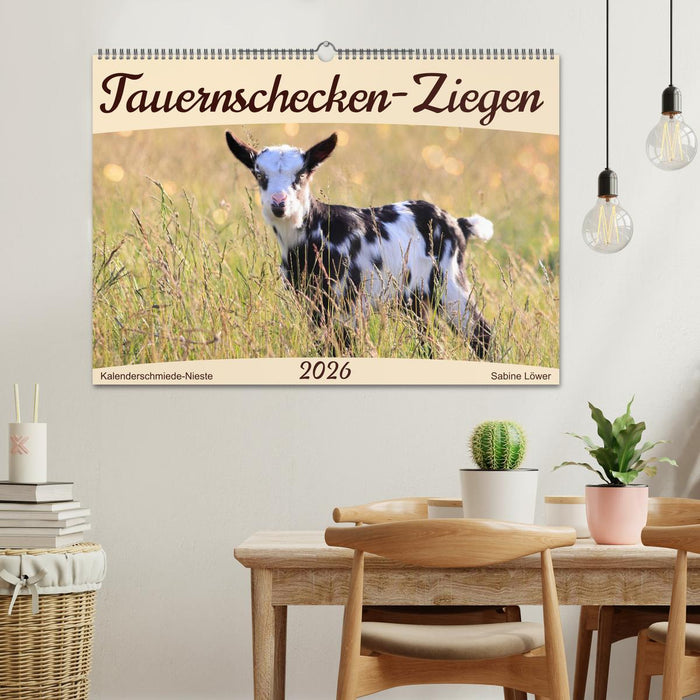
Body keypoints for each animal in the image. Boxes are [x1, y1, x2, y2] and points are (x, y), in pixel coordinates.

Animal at [225, 131, 494, 357]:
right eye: (260, 175)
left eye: (301, 175)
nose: (278, 203)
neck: (316, 232)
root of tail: (457, 224)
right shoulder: (309, 302)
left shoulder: (348, 303)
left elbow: (344, 348)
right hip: (414, 298)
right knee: (429, 341)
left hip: (448, 284)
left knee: (481, 332)